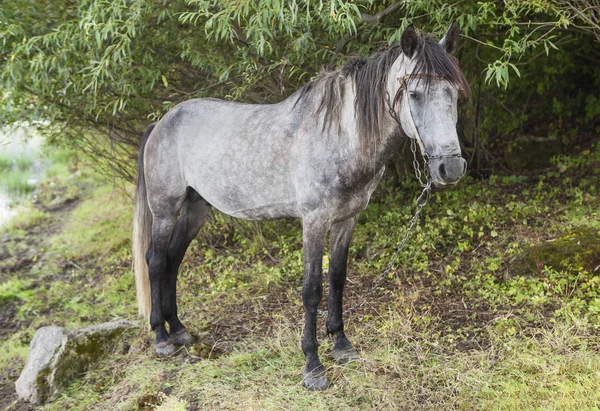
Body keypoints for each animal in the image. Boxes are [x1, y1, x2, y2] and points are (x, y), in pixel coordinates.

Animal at [134, 24, 472, 392]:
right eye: (414, 94)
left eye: (454, 94)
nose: (450, 168)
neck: (338, 137)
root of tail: (162, 123)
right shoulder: (314, 222)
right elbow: (312, 290)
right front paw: (313, 366)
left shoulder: (346, 220)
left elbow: (337, 278)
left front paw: (341, 345)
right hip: (165, 210)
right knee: (156, 261)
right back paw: (162, 338)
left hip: (196, 209)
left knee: (173, 259)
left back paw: (180, 330)